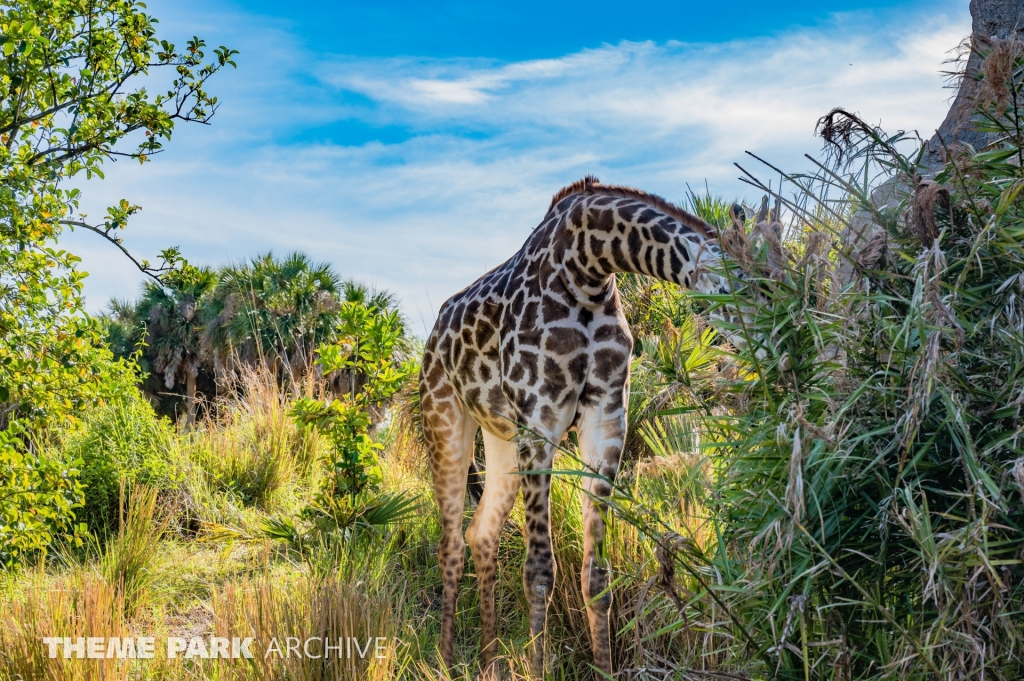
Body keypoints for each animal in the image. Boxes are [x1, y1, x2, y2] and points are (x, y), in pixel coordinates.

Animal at [419, 175, 741, 675]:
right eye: (737, 286)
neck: (588, 270)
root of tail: (433, 336)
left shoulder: (606, 421)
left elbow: (597, 576)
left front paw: (604, 668)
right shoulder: (541, 422)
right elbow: (538, 571)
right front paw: (537, 670)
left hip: (500, 437)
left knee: (481, 533)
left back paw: (490, 663)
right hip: (445, 421)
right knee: (450, 542)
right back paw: (447, 662)